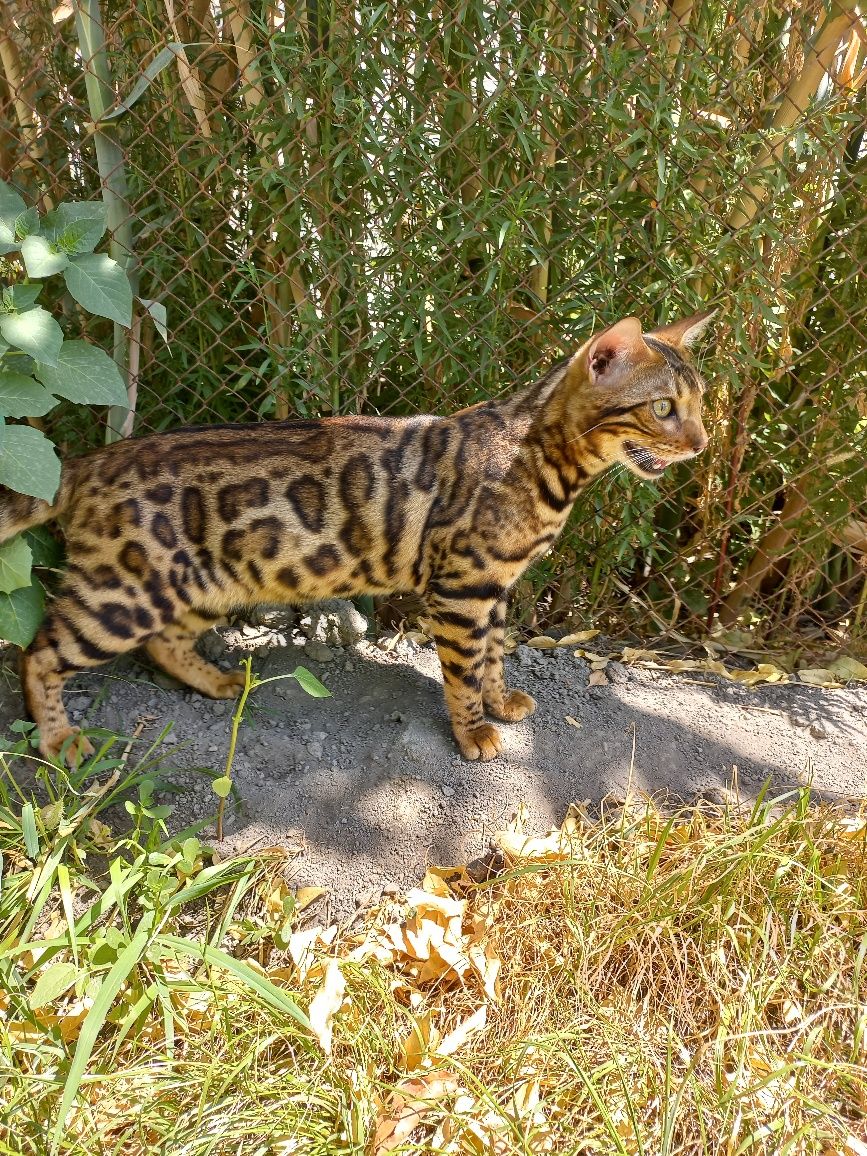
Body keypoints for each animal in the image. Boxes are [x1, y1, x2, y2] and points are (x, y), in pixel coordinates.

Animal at [0, 312, 712, 762]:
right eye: (663, 408)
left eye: (701, 404)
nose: (703, 443)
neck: (541, 459)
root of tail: (86, 464)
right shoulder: (462, 587)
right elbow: (462, 667)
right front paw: (472, 733)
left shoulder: (496, 586)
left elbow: (493, 654)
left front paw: (498, 701)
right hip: (124, 592)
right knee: (39, 652)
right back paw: (57, 739)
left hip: (204, 583)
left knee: (163, 643)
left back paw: (220, 683)